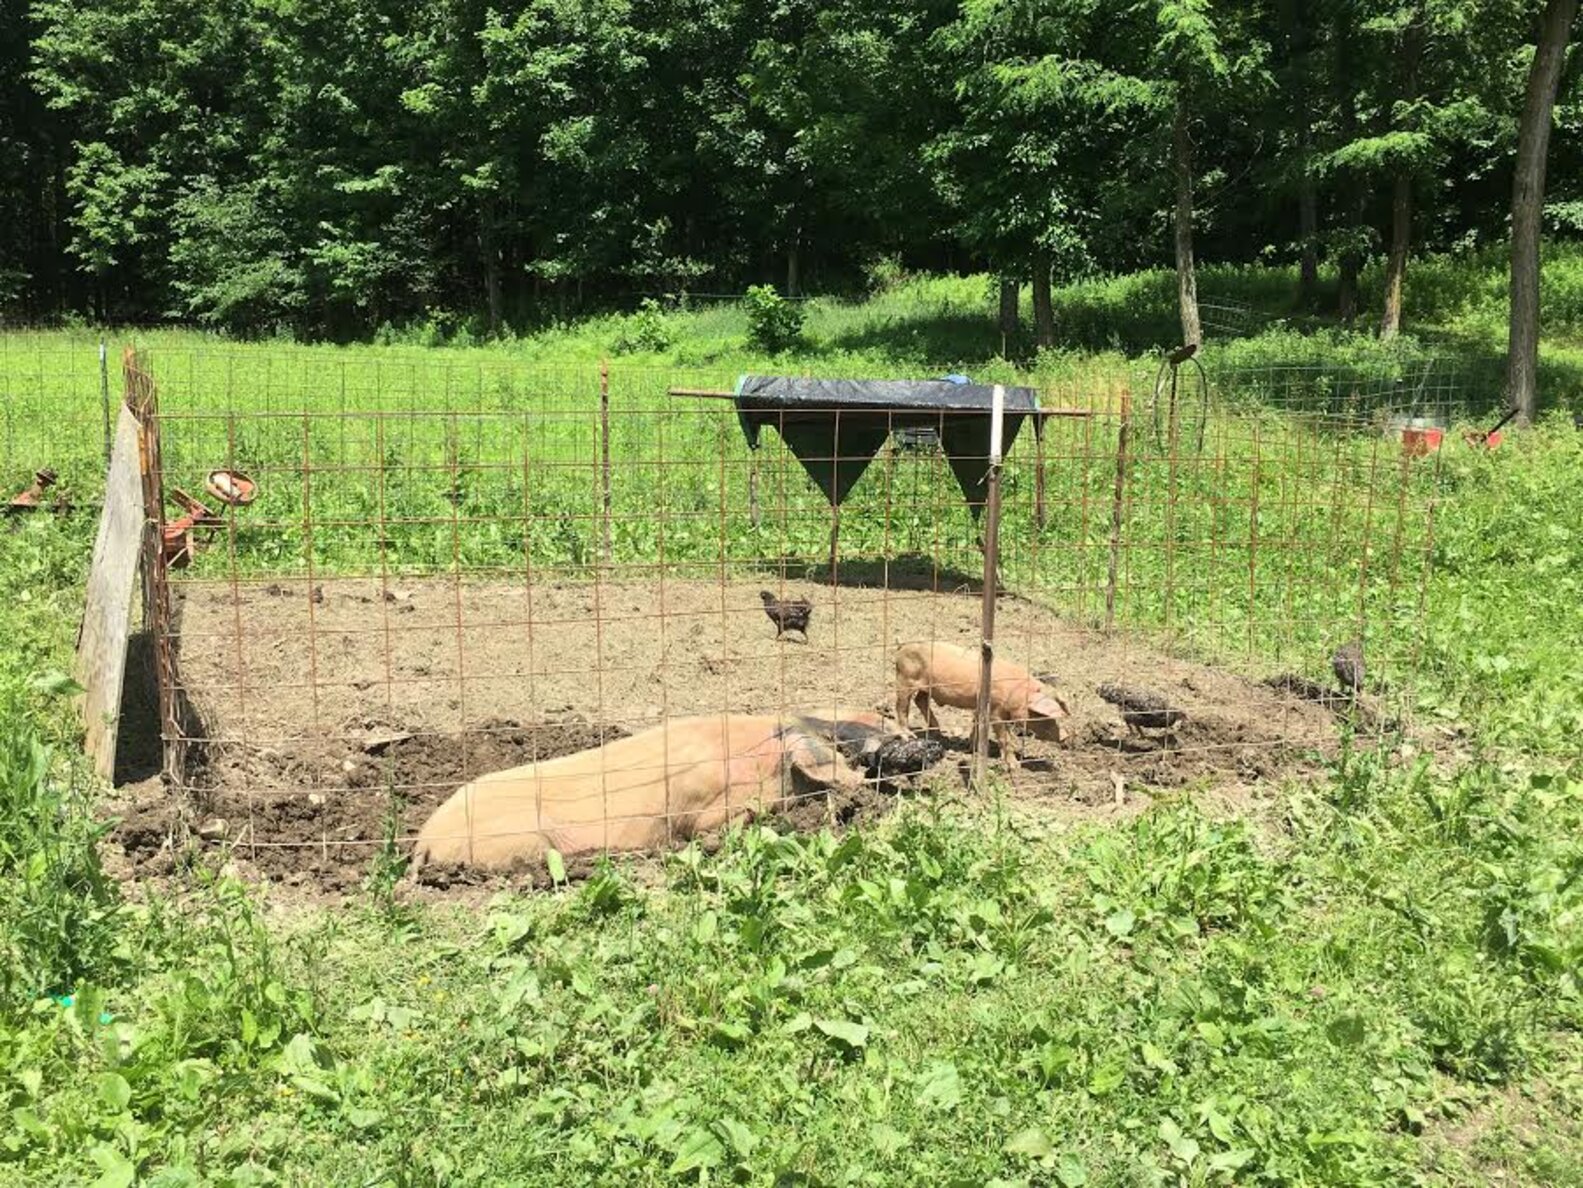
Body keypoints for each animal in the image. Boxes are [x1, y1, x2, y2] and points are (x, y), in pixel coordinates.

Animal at [893, 640, 1070, 768]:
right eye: (1042, 715)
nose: (1065, 736)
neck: (1016, 693)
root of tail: (902, 648)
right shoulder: (996, 711)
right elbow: (1004, 737)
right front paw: (1014, 766)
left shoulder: (981, 705)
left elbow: (977, 723)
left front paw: (972, 747)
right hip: (904, 680)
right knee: (902, 706)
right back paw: (910, 735)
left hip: (926, 687)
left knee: (920, 700)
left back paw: (938, 731)